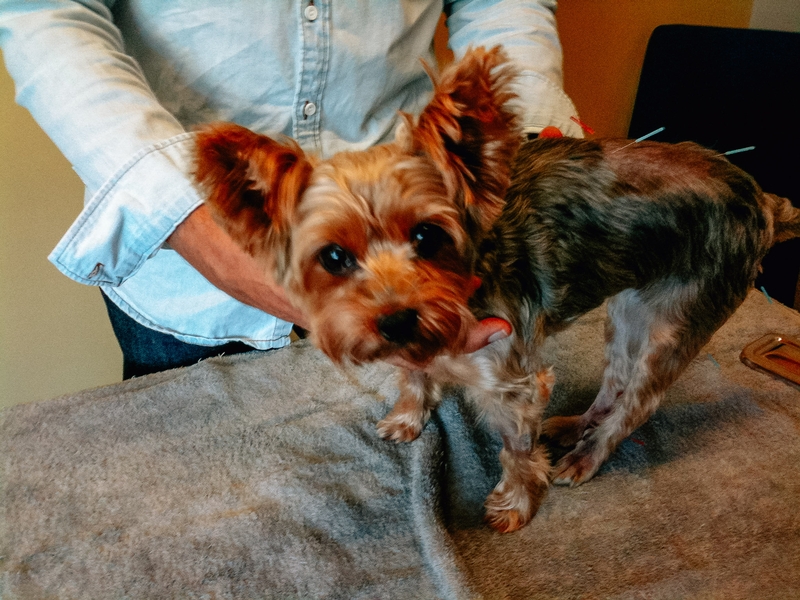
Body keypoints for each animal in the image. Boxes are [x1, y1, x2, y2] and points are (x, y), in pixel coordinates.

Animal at [192, 48, 800, 536]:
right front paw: (409, 416)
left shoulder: (511, 375)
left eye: (427, 236)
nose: (396, 320)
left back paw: (586, 456)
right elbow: (414, 376)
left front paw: (514, 505)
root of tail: (763, 202)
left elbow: (516, 449)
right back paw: (574, 424)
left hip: (682, 313)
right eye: (334, 258)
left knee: (639, 401)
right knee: (616, 380)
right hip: (630, 305)